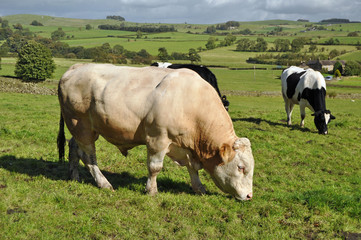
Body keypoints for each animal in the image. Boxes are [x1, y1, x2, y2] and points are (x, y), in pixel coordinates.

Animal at [57, 62, 253, 200]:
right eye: (241, 167)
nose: (249, 196)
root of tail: (76, 67)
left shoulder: (185, 144)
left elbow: (192, 167)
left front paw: (199, 188)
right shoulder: (157, 139)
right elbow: (155, 167)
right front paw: (151, 190)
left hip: (83, 129)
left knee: (73, 147)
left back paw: (74, 176)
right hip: (80, 125)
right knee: (88, 156)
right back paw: (103, 183)